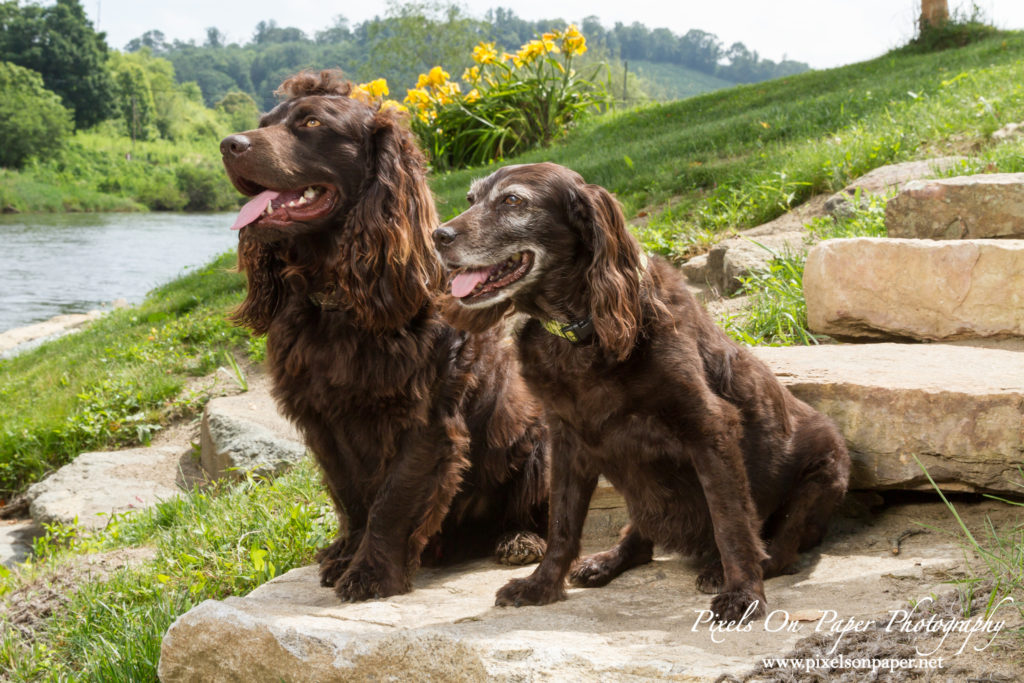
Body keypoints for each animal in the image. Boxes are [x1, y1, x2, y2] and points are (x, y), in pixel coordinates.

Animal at [219, 72, 548, 602]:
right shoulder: (322, 420)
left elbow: (392, 500)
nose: (229, 144)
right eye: (265, 122)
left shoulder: (425, 419)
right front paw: (345, 555)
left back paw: (520, 539)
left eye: (312, 123)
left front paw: (371, 574)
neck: (339, 297)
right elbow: (352, 497)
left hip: (538, 437)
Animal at [432, 162, 847, 622]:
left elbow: (732, 524)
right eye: (470, 200)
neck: (582, 329)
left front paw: (743, 594)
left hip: (825, 471)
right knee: (641, 533)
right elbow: (561, 524)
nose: (437, 237)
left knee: (782, 548)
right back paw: (607, 561)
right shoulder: (566, 439)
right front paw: (542, 585)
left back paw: (731, 567)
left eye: (512, 201)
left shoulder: (710, 428)